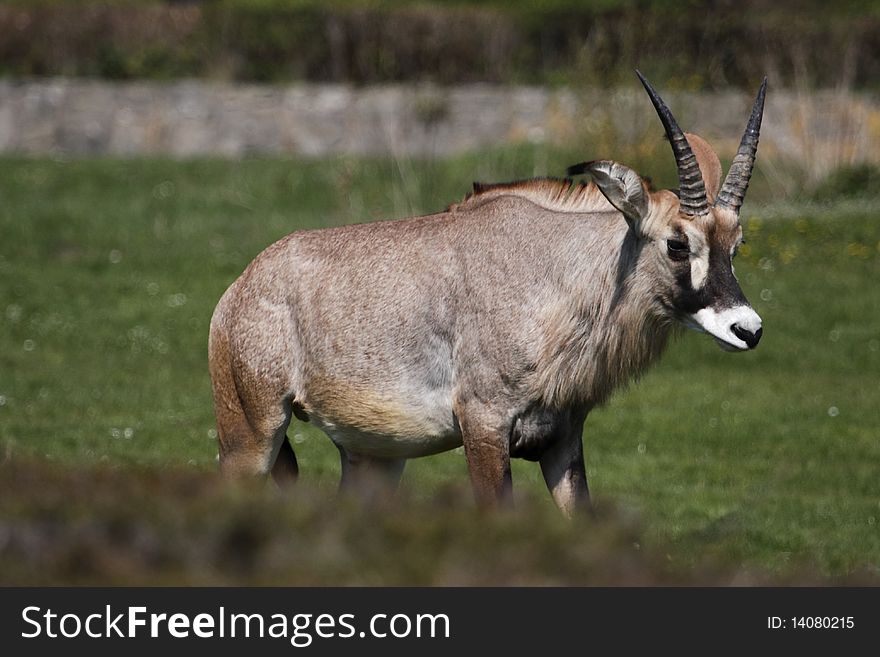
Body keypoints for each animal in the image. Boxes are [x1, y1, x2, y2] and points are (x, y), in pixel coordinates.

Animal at [210, 70, 768, 512]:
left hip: (375, 457)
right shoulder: (483, 426)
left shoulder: (562, 439)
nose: (748, 329)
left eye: (735, 245)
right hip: (253, 432)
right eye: (677, 243)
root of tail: (240, 289)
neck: (554, 274)